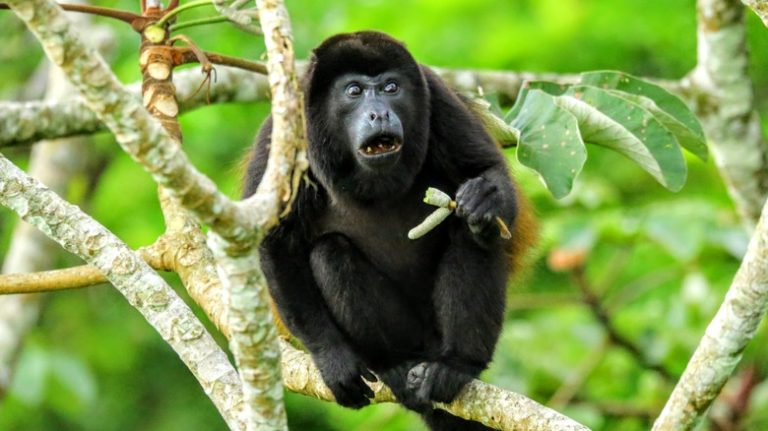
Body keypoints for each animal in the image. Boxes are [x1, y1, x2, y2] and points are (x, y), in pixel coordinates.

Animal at [244, 31, 536, 431]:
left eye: (391, 87)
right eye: (353, 91)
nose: (379, 112)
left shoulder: (438, 95)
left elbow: (486, 168)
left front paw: (485, 197)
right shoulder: (279, 134)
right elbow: (275, 242)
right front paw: (333, 359)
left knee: (469, 232)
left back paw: (454, 367)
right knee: (330, 253)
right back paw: (395, 367)